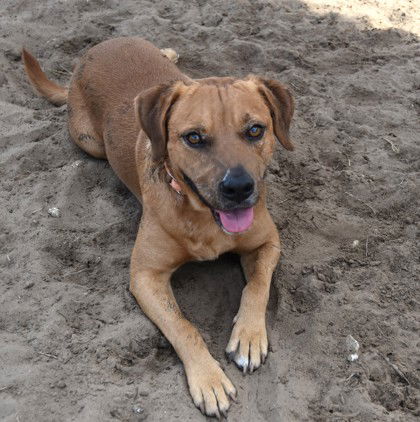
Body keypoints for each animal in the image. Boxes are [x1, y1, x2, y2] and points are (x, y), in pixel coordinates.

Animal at [22, 37, 294, 418]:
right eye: (193, 138)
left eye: (256, 130)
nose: (239, 188)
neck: (202, 217)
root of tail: (101, 46)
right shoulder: (145, 276)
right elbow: (183, 325)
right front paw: (209, 379)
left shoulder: (267, 242)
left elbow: (258, 286)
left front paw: (250, 337)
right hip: (89, 141)